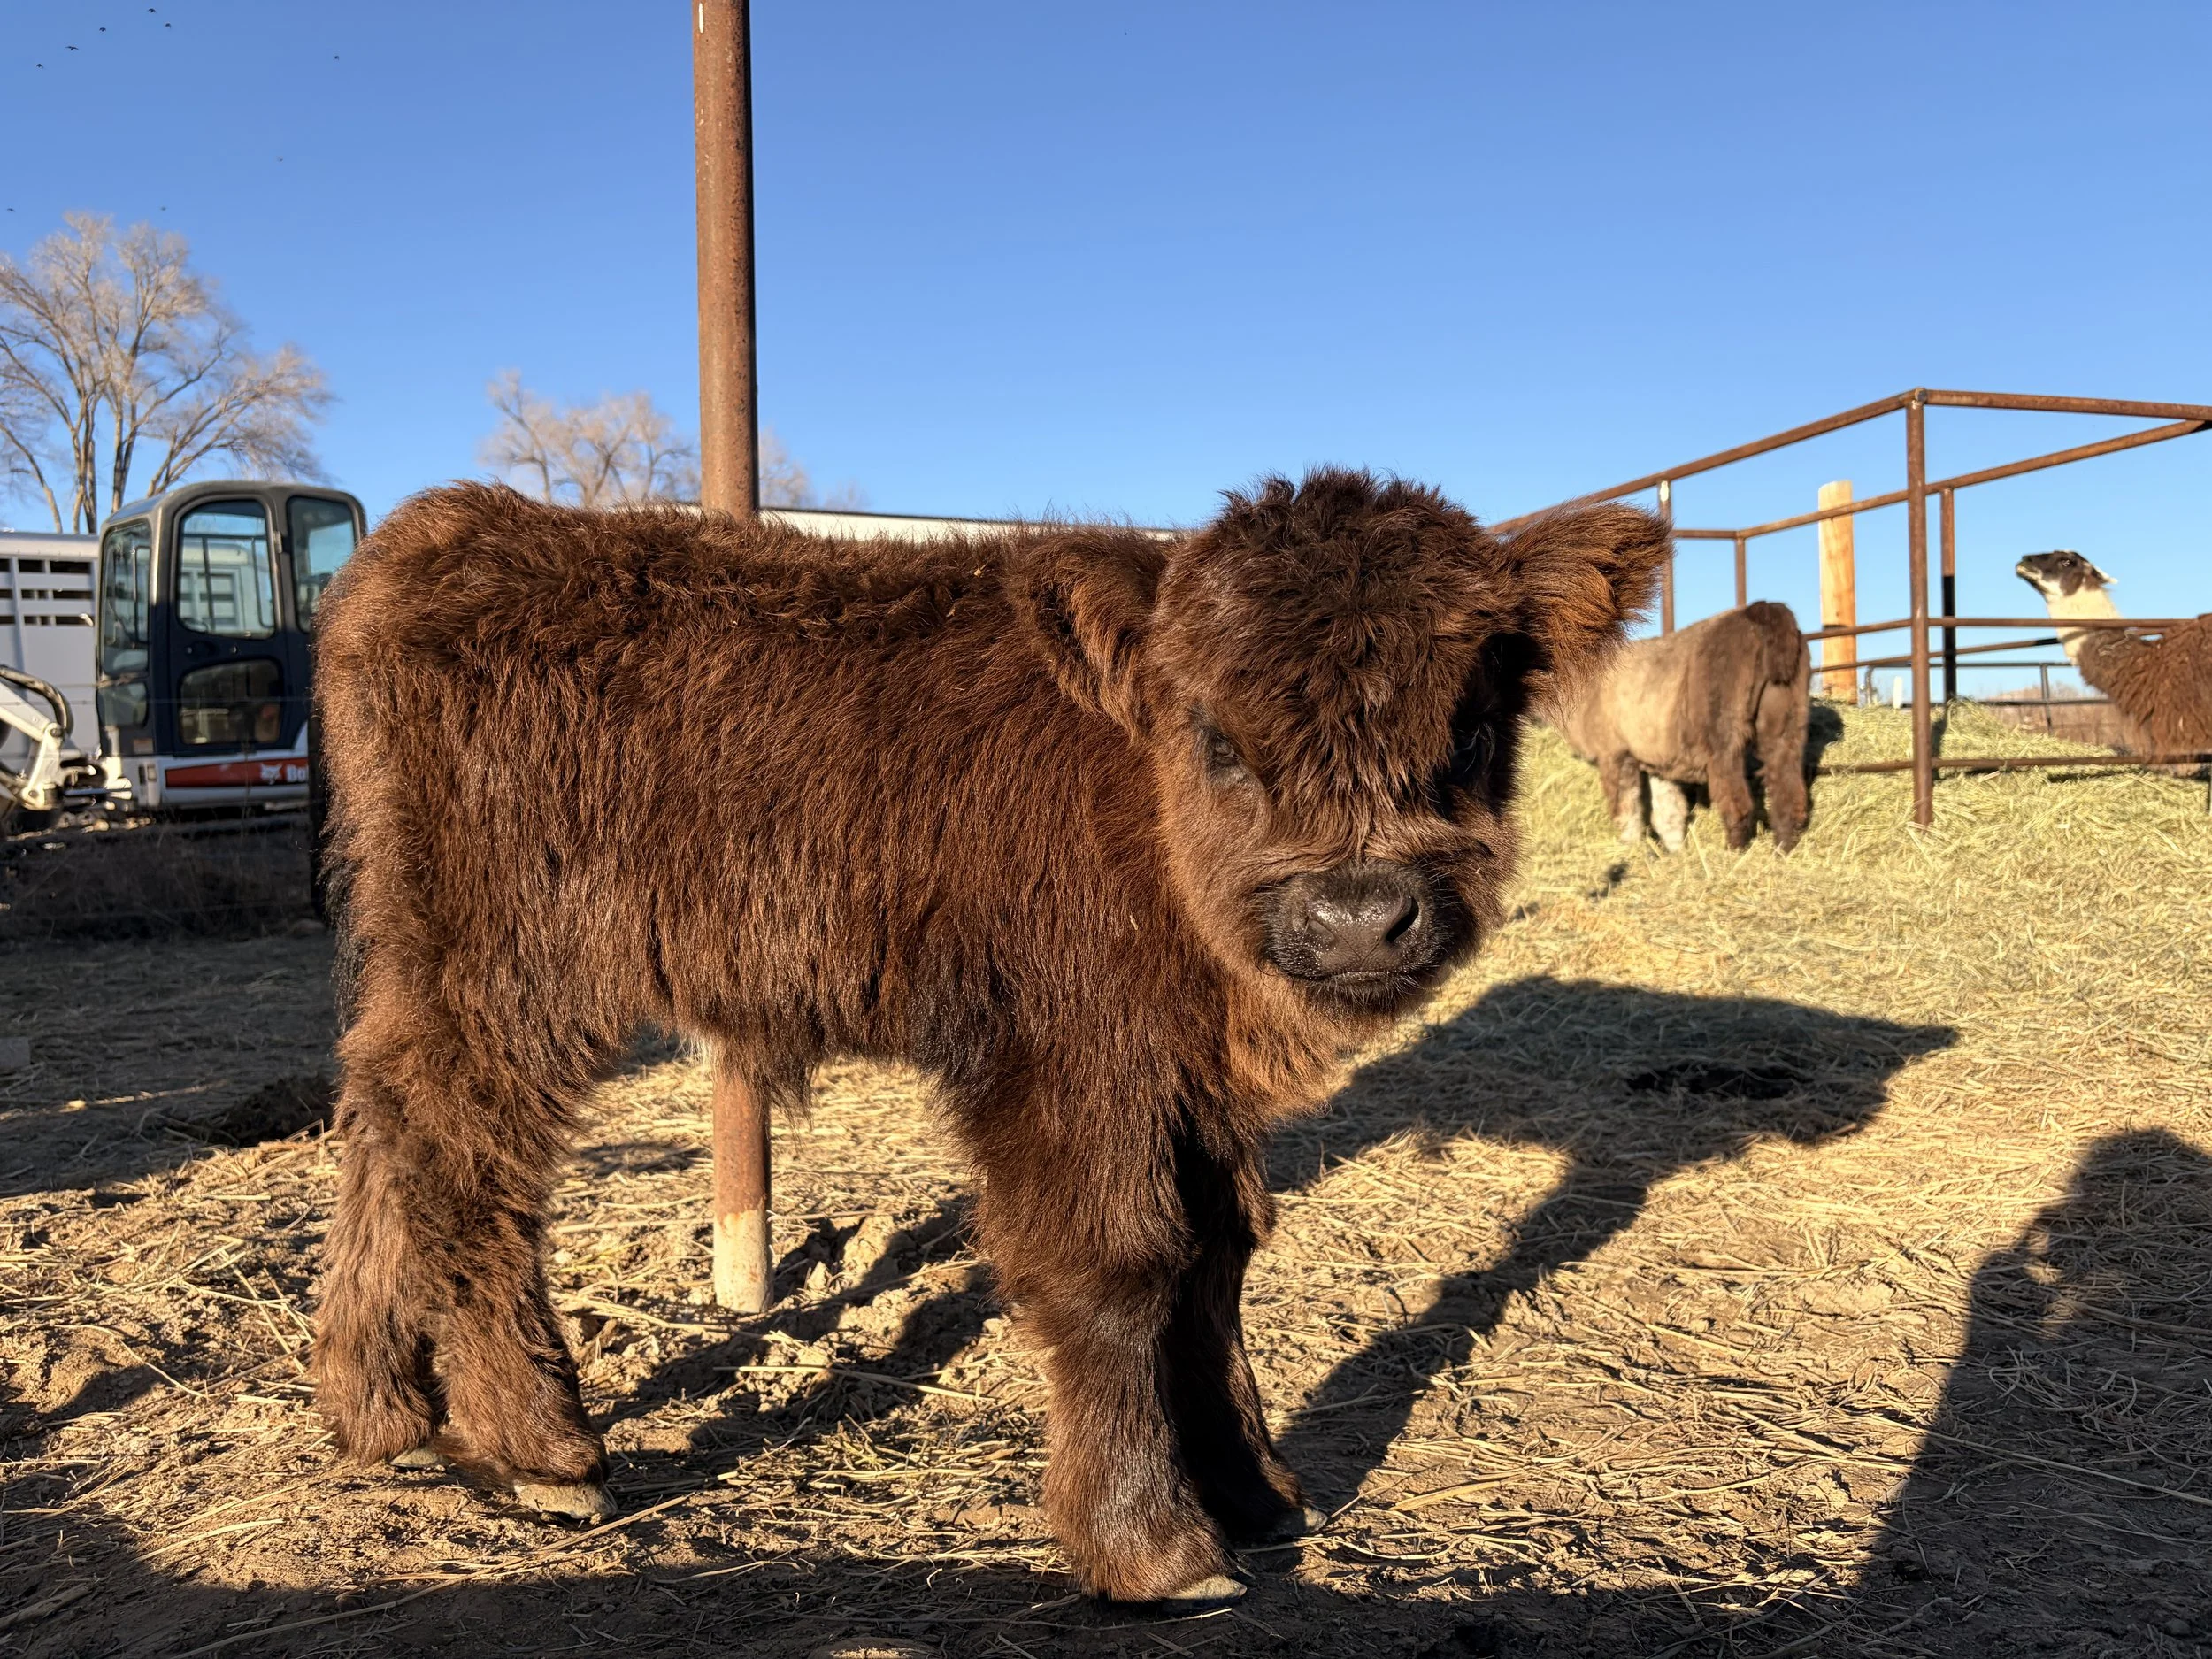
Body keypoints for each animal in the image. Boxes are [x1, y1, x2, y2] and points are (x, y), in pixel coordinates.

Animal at [309, 470, 1669, 1606]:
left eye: (1472, 728)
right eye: (1218, 736)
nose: (1357, 916)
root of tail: (446, 533)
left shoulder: (1186, 1072)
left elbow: (1219, 1252)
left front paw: (1257, 1492)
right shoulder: (1069, 1057)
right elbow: (1121, 1263)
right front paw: (1155, 1545)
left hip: (426, 950)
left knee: (382, 1113)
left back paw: (379, 1413)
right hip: (513, 969)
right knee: (466, 1154)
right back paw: (542, 1448)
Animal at [1549, 600, 1811, 853]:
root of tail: (1767, 611)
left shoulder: (1615, 753)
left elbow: (1626, 810)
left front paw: (1631, 851)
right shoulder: (1659, 764)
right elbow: (1669, 813)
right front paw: (1676, 854)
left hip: (1722, 726)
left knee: (1736, 800)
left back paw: (1733, 852)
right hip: (1787, 714)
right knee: (1787, 788)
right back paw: (1783, 850)